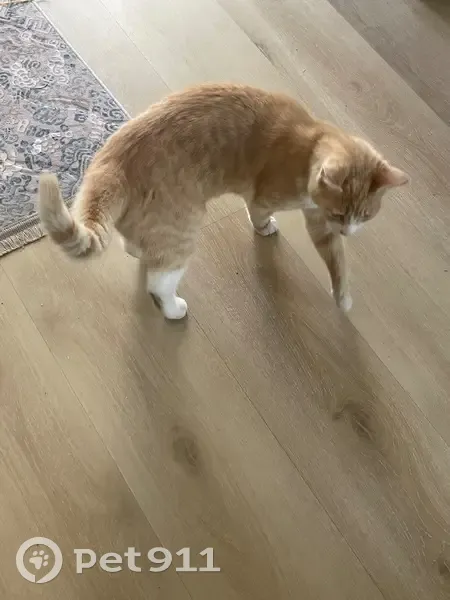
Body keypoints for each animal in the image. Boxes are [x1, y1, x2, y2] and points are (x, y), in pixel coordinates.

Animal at [39, 83, 408, 319]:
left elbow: (337, 260)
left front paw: (342, 297)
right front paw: (265, 229)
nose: (349, 231)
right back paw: (173, 308)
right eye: (340, 213)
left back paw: (141, 251)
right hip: (182, 231)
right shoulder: (268, 200)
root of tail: (112, 160)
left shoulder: (320, 223)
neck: (314, 139)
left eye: (365, 215)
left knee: (135, 245)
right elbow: (260, 216)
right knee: (159, 282)